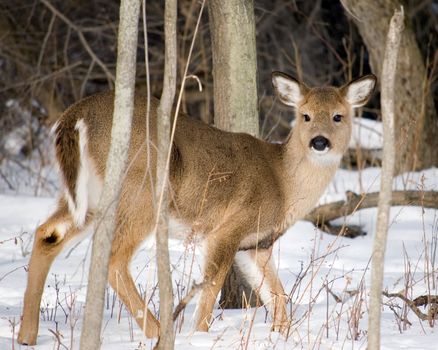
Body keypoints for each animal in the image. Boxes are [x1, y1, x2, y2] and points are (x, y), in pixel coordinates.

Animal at [16, 71, 372, 344]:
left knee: (47, 234)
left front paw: (280, 335)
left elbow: (279, 297)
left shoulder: (256, 244)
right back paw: (160, 332)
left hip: (88, 196)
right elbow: (211, 288)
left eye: (338, 116)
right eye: (305, 115)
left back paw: (27, 336)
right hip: (142, 191)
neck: (283, 183)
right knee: (115, 259)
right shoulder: (228, 228)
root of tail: (74, 116)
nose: (319, 142)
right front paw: (200, 334)